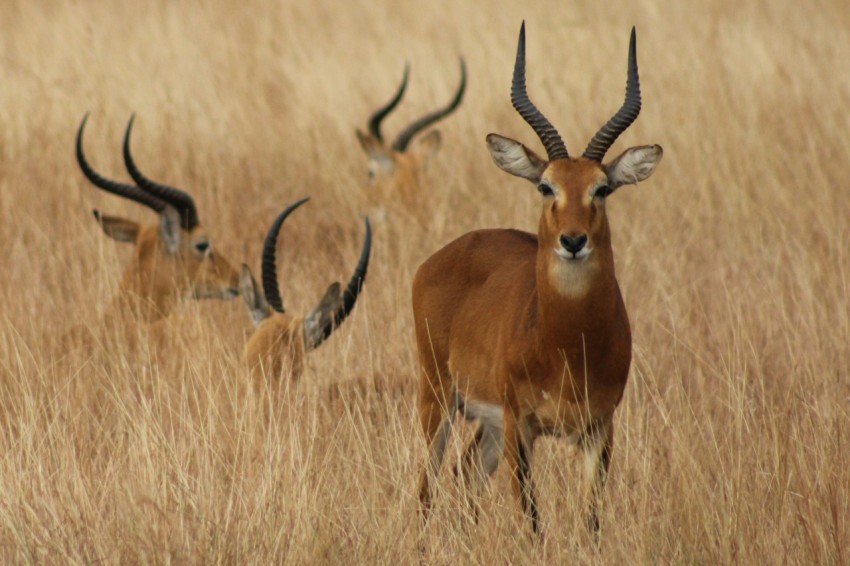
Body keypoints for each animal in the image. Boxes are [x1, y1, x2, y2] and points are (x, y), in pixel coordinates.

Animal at [412, 23, 664, 536]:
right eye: (546, 185)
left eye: (602, 188)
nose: (573, 240)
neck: (567, 345)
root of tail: (445, 254)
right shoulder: (521, 424)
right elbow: (531, 522)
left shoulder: (599, 429)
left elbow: (590, 524)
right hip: (439, 399)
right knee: (427, 489)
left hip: (485, 424)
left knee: (464, 474)